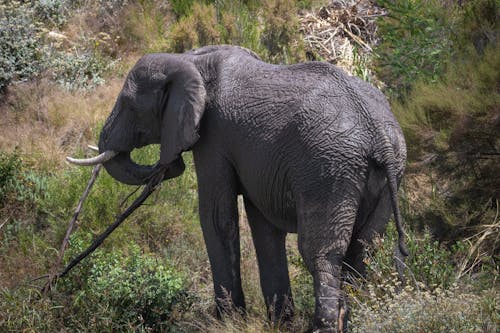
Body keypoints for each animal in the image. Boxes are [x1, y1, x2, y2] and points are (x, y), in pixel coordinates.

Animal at [68, 44, 408, 332]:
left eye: (128, 104)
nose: (169, 165)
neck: (188, 59)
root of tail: (378, 135)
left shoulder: (214, 135)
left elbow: (217, 217)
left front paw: (227, 322)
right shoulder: (261, 161)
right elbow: (263, 227)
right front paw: (279, 323)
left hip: (329, 170)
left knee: (321, 253)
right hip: (383, 172)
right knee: (363, 249)